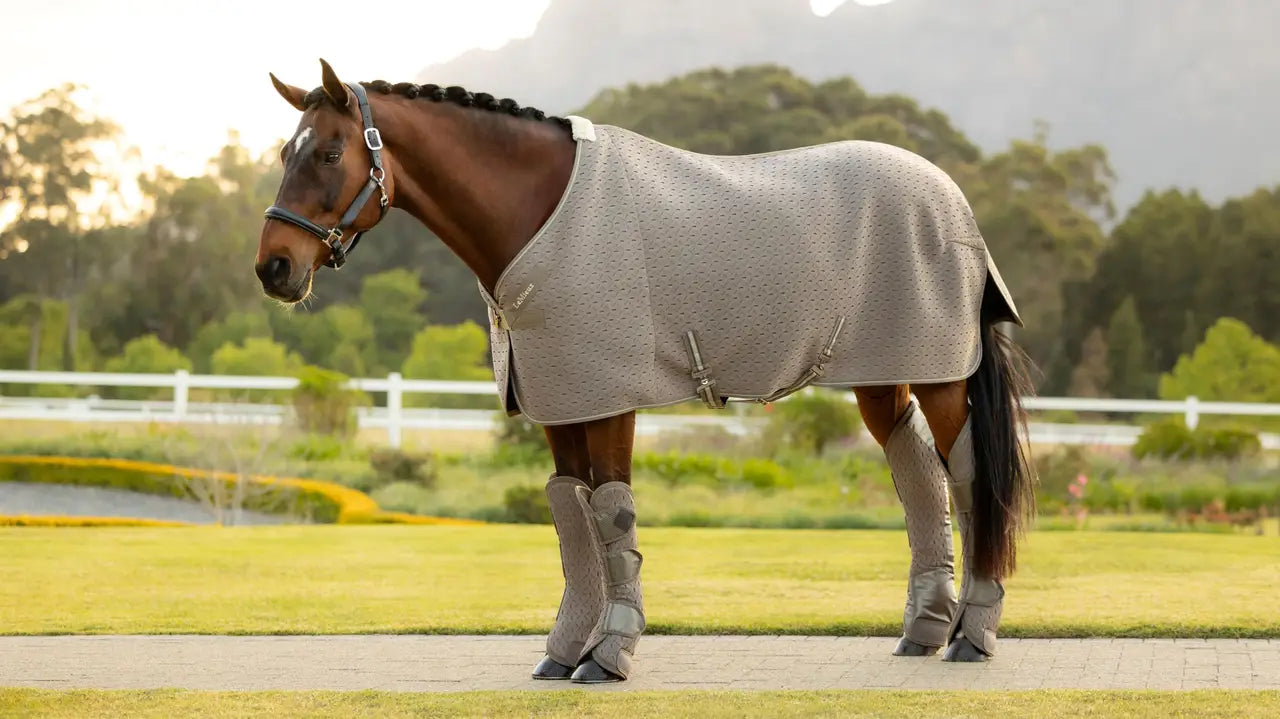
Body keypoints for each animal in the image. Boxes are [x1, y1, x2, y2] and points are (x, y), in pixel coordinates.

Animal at [256, 59, 1037, 684]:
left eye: (329, 151)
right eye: (287, 150)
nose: (275, 267)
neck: (542, 216)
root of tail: (951, 199)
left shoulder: (609, 398)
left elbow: (613, 515)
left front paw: (609, 655)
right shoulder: (560, 399)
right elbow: (571, 514)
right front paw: (563, 652)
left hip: (940, 375)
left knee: (971, 474)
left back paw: (972, 634)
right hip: (885, 371)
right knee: (919, 471)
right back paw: (925, 629)